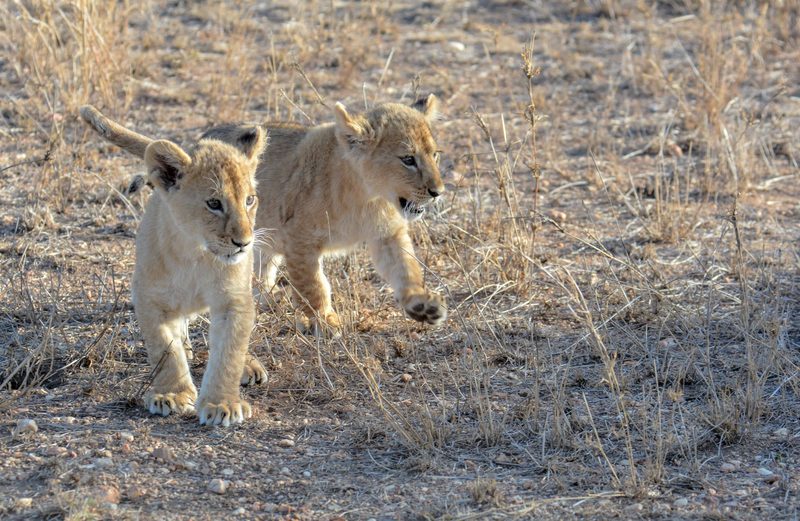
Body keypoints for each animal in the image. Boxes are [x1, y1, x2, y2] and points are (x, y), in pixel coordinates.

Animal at [80, 105, 267, 426]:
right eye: (214, 203)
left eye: (249, 200)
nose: (243, 243)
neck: (194, 253)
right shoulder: (148, 297)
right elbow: (164, 349)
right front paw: (172, 395)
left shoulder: (233, 300)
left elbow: (228, 353)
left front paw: (222, 404)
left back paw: (249, 366)